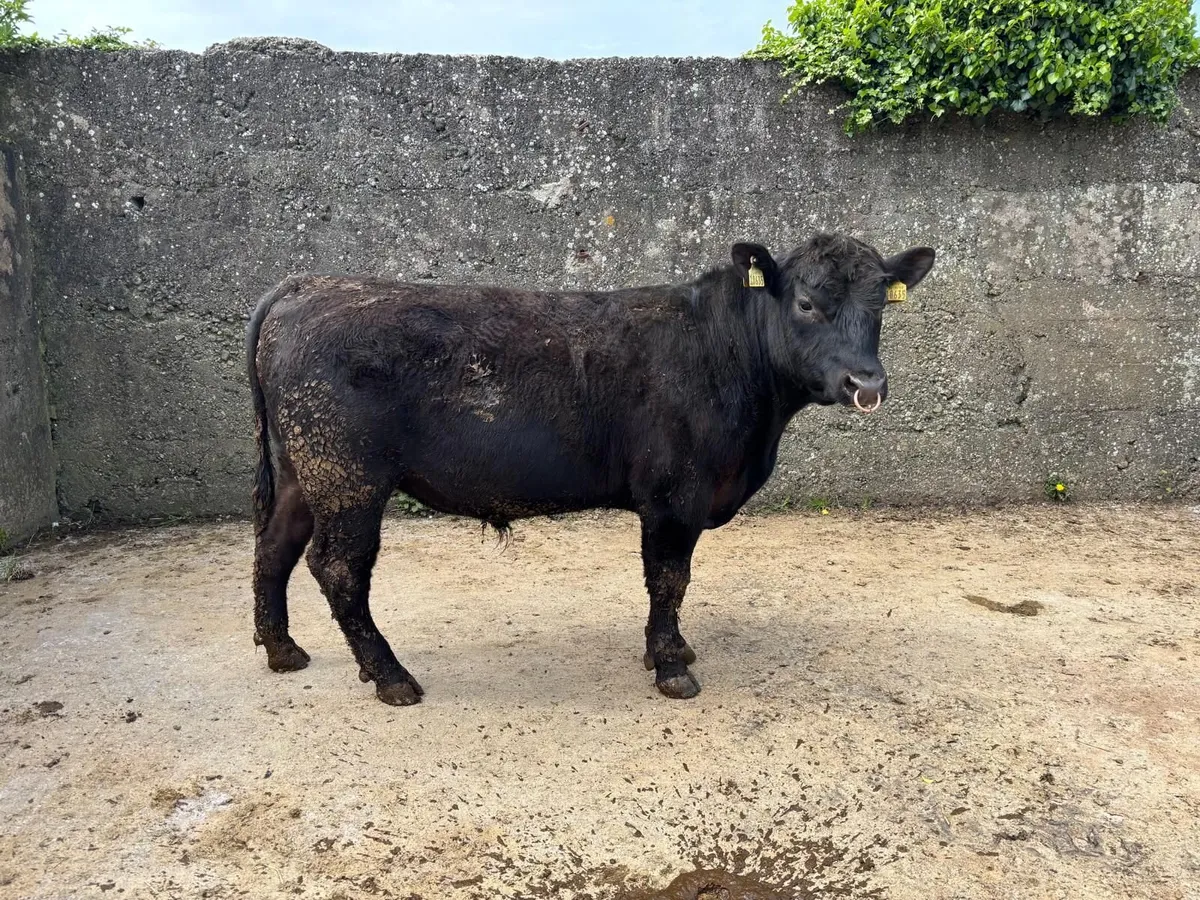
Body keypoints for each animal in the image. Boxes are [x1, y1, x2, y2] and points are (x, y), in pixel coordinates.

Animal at [246, 233, 935, 706]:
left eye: (882, 304)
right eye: (807, 302)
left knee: (275, 548)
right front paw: (672, 666)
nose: (866, 384)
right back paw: (391, 676)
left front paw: (673, 651)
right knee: (338, 569)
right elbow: (669, 580)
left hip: (304, 472)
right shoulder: (674, 496)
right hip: (348, 478)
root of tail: (309, 285)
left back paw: (284, 650)